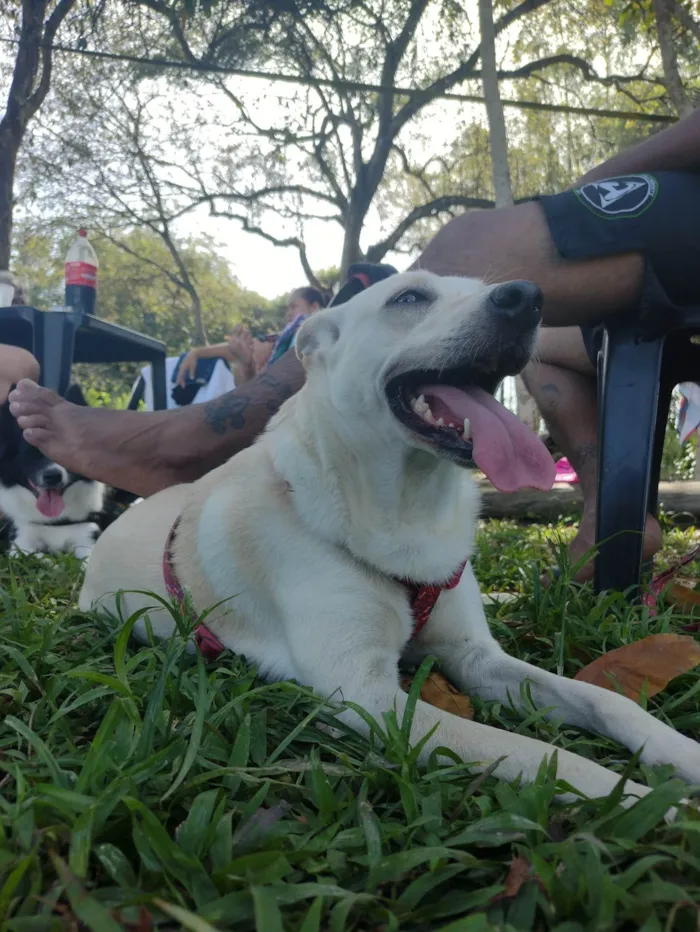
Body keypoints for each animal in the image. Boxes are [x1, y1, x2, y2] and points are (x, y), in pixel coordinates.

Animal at [0, 384, 106, 556]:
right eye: (30, 452)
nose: (53, 476)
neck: (54, 520)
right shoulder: (21, 542)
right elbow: (40, 557)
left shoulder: (87, 537)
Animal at [82, 268, 700, 800]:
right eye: (408, 298)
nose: (528, 298)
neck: (408, 506)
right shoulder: (366, 693)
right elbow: (547, 757)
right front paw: (646, 802)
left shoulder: (475, 657)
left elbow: (604, 700)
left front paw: (680, 755)